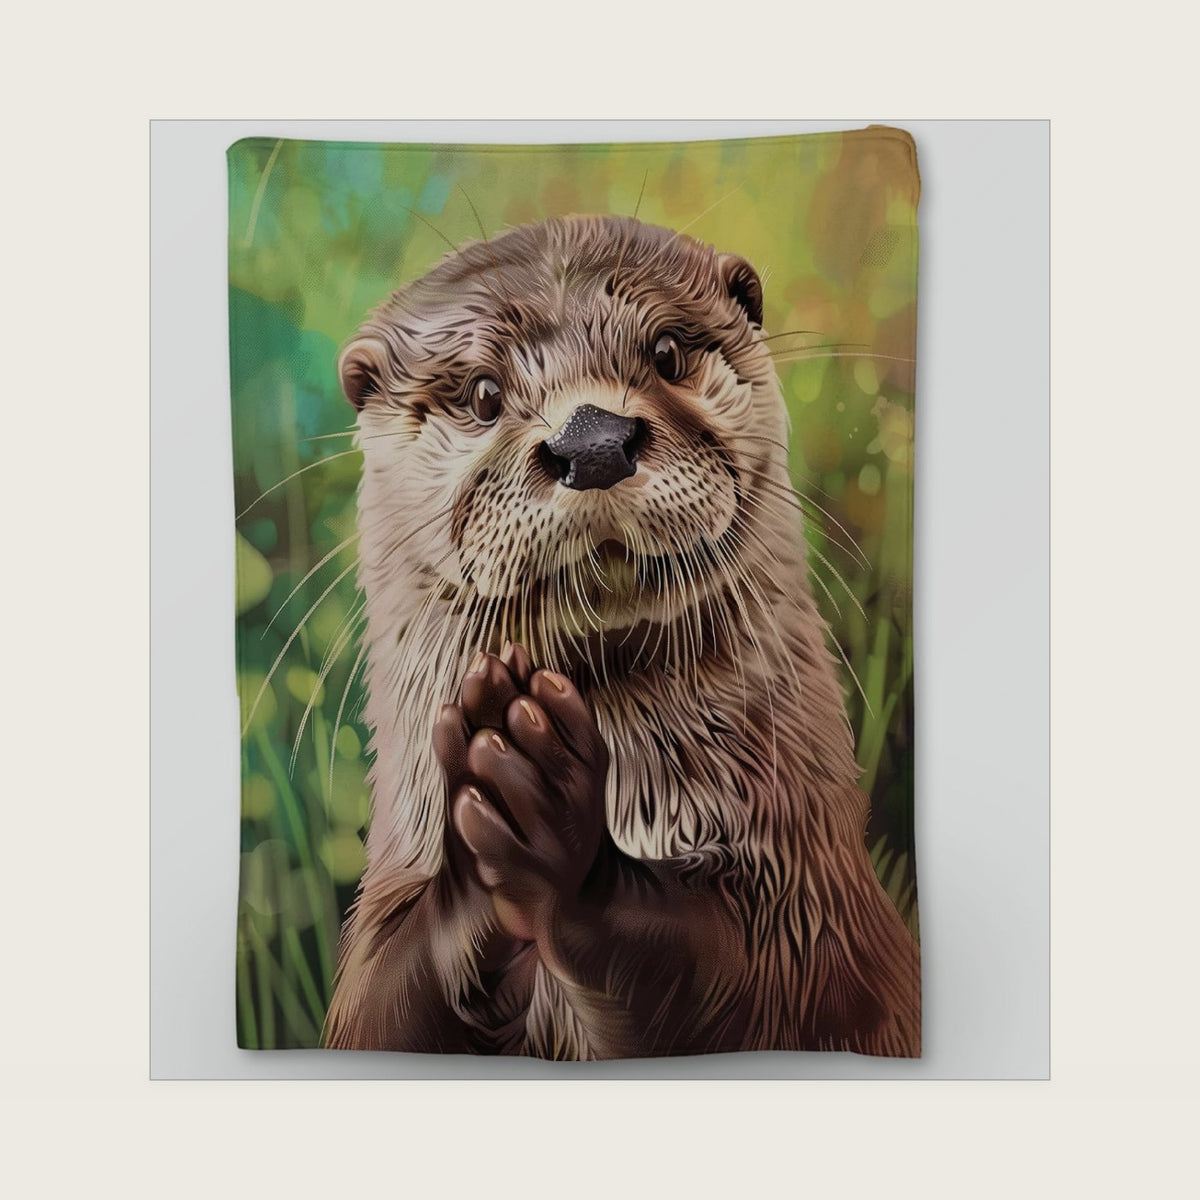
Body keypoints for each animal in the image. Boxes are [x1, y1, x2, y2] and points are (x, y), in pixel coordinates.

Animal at [322, 214, 919, 1058]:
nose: (593, 441)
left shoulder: (809, 916)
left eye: (665, 352)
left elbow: (723, 974)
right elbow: (387, 1001)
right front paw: (483, 815)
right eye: (483, 393)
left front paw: (551, 817)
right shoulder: (374, 954)